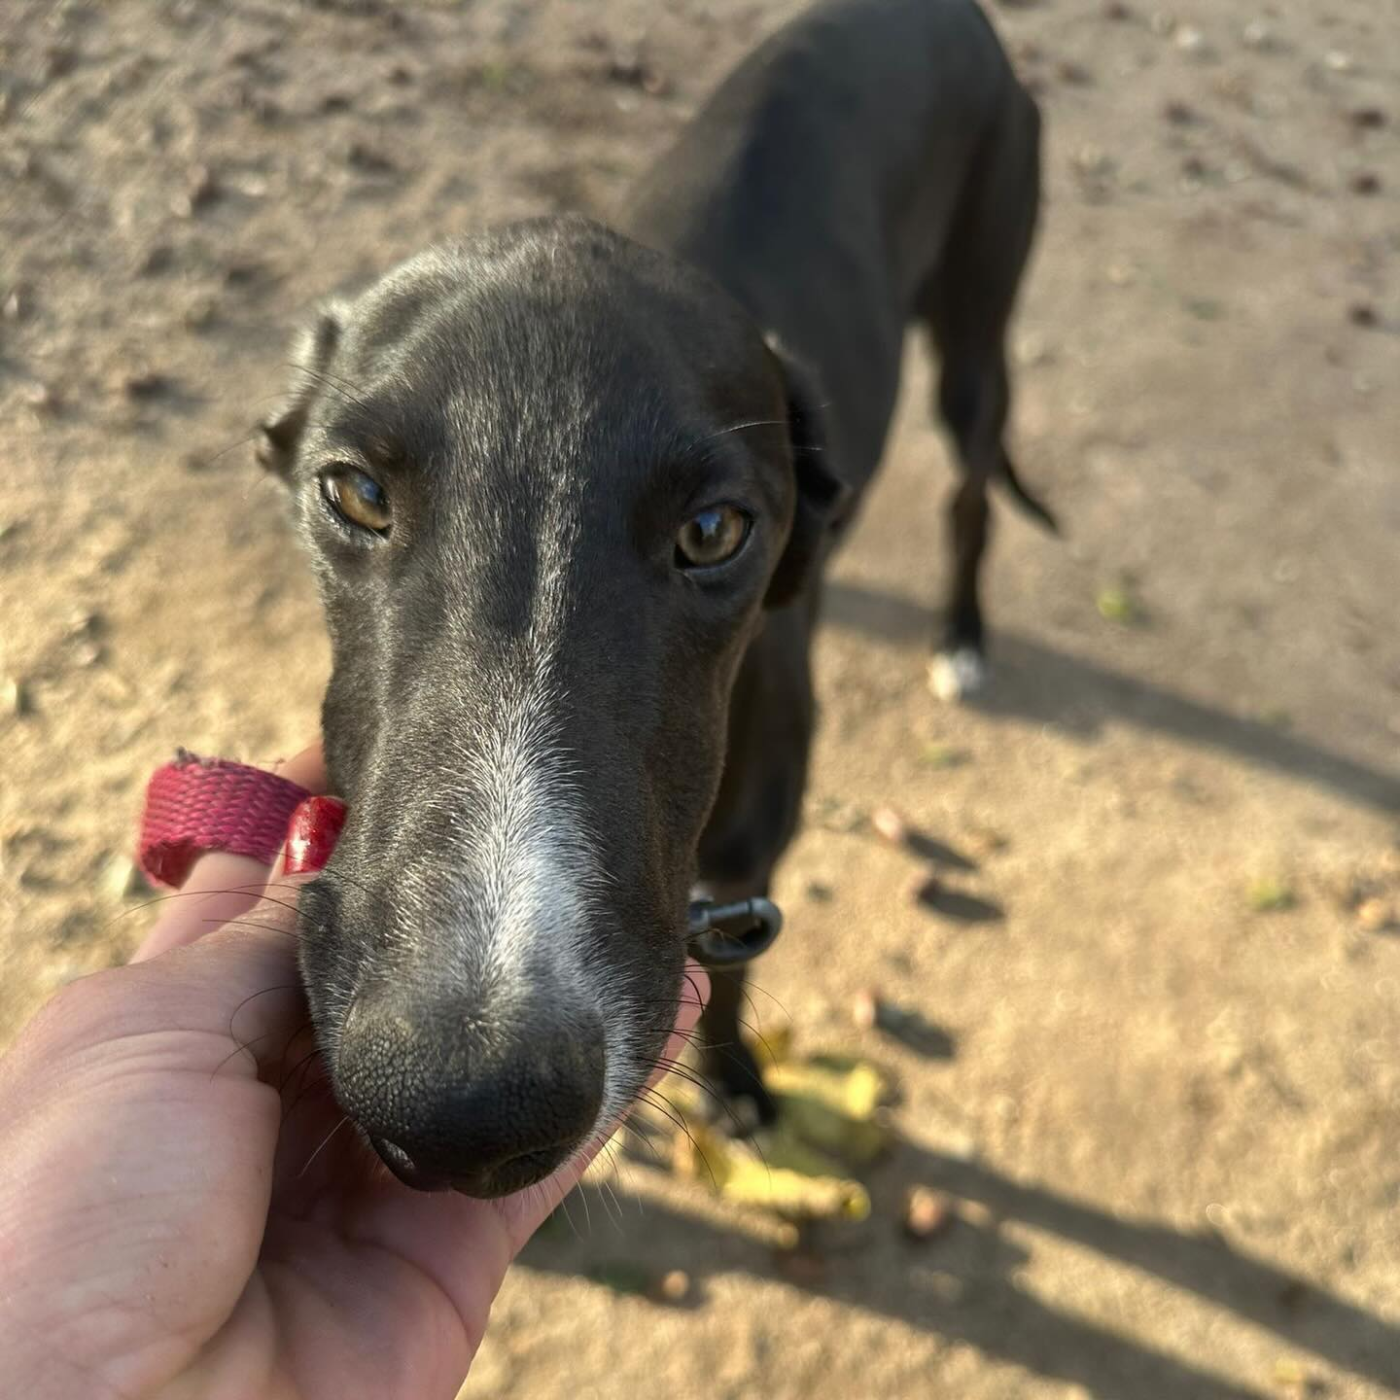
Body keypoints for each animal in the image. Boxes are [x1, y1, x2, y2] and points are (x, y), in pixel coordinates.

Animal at [257, 0, 1052, 1197]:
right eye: (354, 490)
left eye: (714, 529)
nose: (458, 1109)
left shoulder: (746, 867)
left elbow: (732, 982)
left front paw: (735, 1086)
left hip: (978, 327)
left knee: (971, 497)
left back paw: (961, 637)